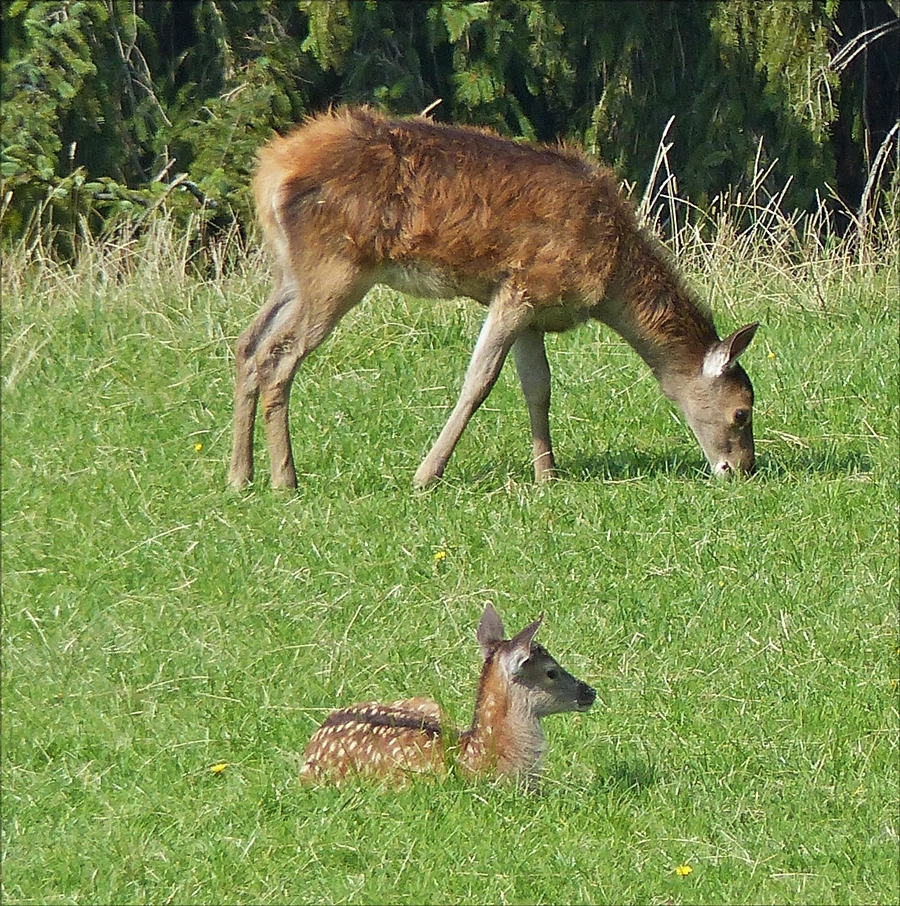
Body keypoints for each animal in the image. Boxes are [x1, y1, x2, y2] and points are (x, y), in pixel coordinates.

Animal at [229, 107, 756, 488]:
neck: (611, 277)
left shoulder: (535, 309)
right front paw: (426, 475)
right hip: (336, 268)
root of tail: (270, 170)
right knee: (278, 355)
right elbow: (479, 380)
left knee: (247, 343)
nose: (742, 470)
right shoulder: (522, 287)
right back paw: (285, 479)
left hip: (290, 272)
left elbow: (538, 387)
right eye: (742, 411)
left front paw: (547, 476)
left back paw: (240, 475)